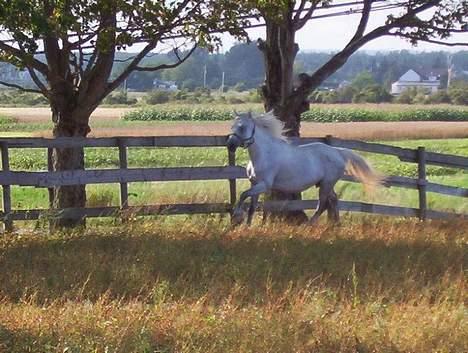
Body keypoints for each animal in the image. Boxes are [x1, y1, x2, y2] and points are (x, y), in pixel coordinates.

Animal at [225, 111, 382, 224]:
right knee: (333, 200)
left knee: (322, 204)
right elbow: (251, 207)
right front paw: (246, 225)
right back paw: (335, 225)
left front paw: (236, 217)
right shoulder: (255, 183)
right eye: (232, 126)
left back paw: (309, 225)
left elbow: (243, 195)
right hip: (325, 184)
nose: (230, 145)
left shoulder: (264, 185)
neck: (264, 153)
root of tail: (337, 151)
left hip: (326, 184)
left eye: (242, 127)